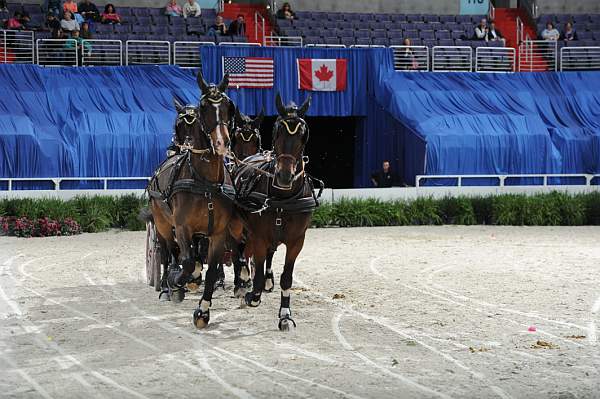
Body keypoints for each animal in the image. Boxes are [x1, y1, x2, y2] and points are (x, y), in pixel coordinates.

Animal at [232, 94, 324, 332]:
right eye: (276, 132)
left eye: (303, 136)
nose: (284, 176)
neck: (284, 198)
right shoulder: (259, 236)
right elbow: (255, 269)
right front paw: (252, 294)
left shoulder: (297, 241)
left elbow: (286, 278)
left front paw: (285, 315)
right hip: (237, 226)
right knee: (238, 250)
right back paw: (242, 281)